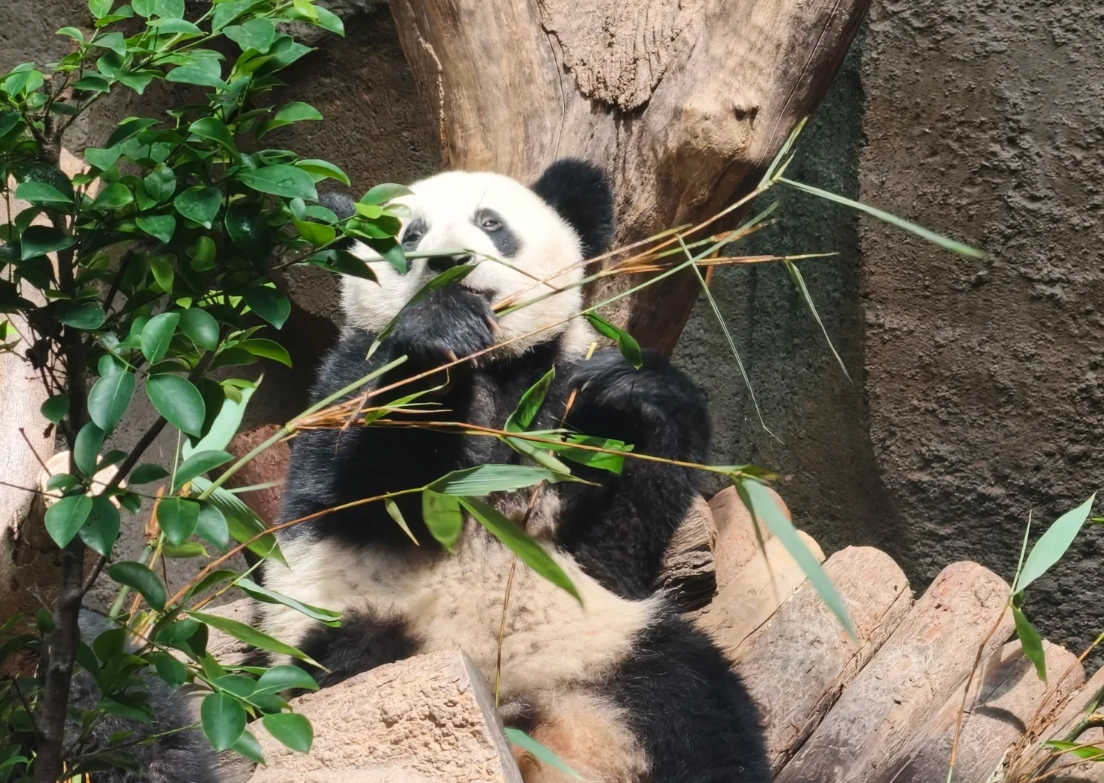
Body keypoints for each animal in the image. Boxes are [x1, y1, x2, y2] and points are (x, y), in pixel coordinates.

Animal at [255, 159, 770, 783]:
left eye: (491, 223)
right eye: (410, 236)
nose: (448, 264)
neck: (493, 363)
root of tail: (528, 711)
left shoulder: (558, 391)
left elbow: (616, 539)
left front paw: (632, 389)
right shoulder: (348, 377)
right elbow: (364, 489)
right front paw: (440, 333)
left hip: (611, 644)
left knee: (697, 707)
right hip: (349, 626)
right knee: (354, 666)